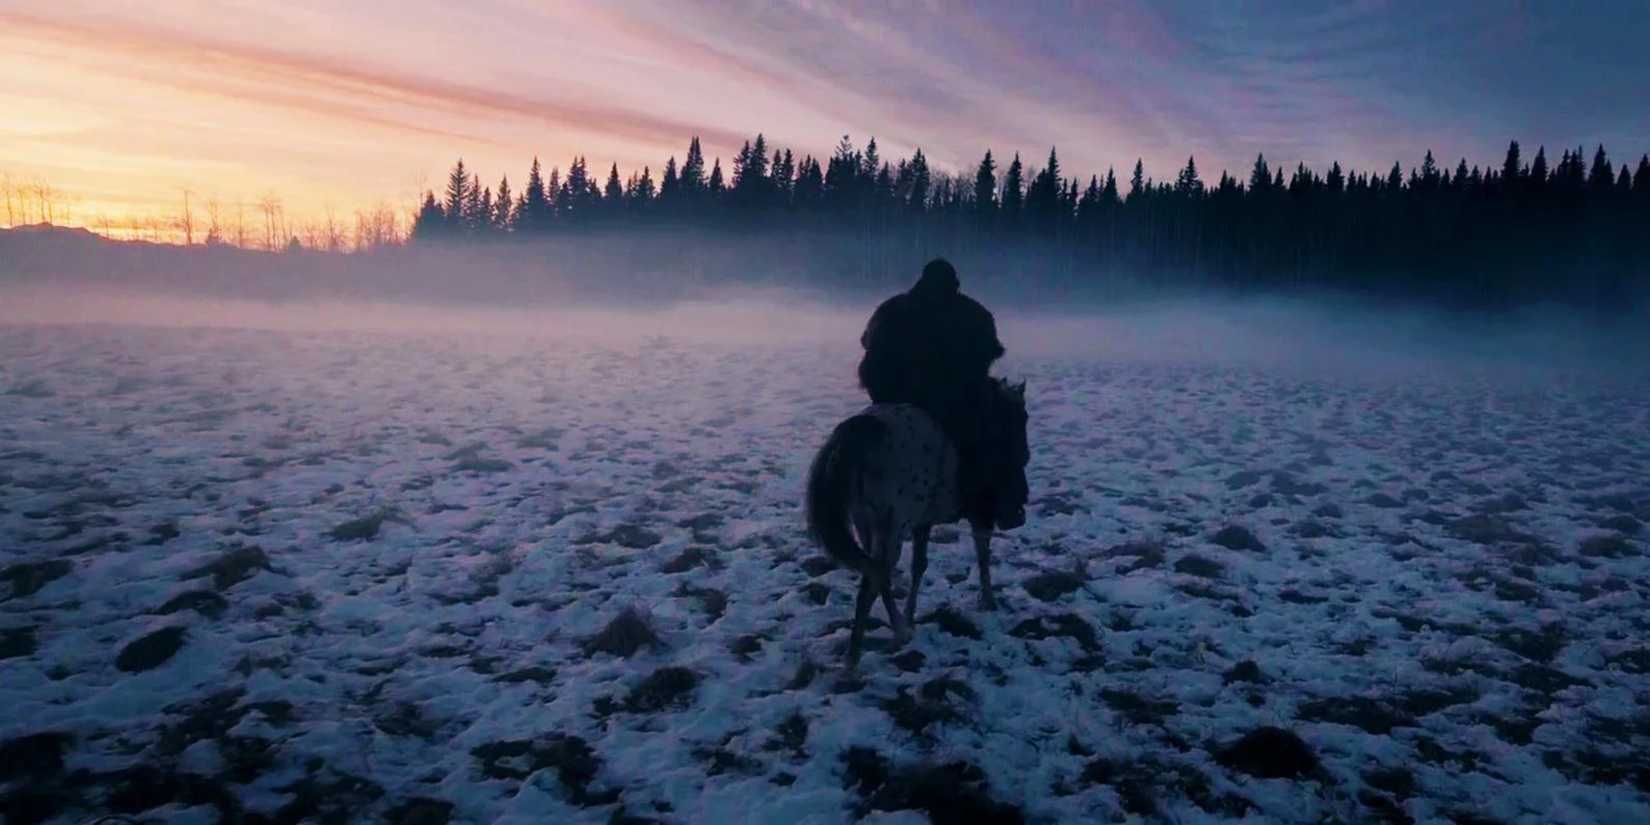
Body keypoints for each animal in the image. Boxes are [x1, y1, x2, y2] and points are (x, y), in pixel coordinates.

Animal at [804, 378, 1029, 667]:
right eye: (1020, 418)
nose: (1025, 454)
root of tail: (862, 430)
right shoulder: (979, 514)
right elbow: (982, 555)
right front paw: (988, 601)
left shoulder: (923, 523)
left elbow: (919, 566)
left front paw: (911, 616)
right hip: (892, 527)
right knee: (871, 582)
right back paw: (857, 659)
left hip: (868, 524)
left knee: (876, 573)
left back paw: (898, 630)